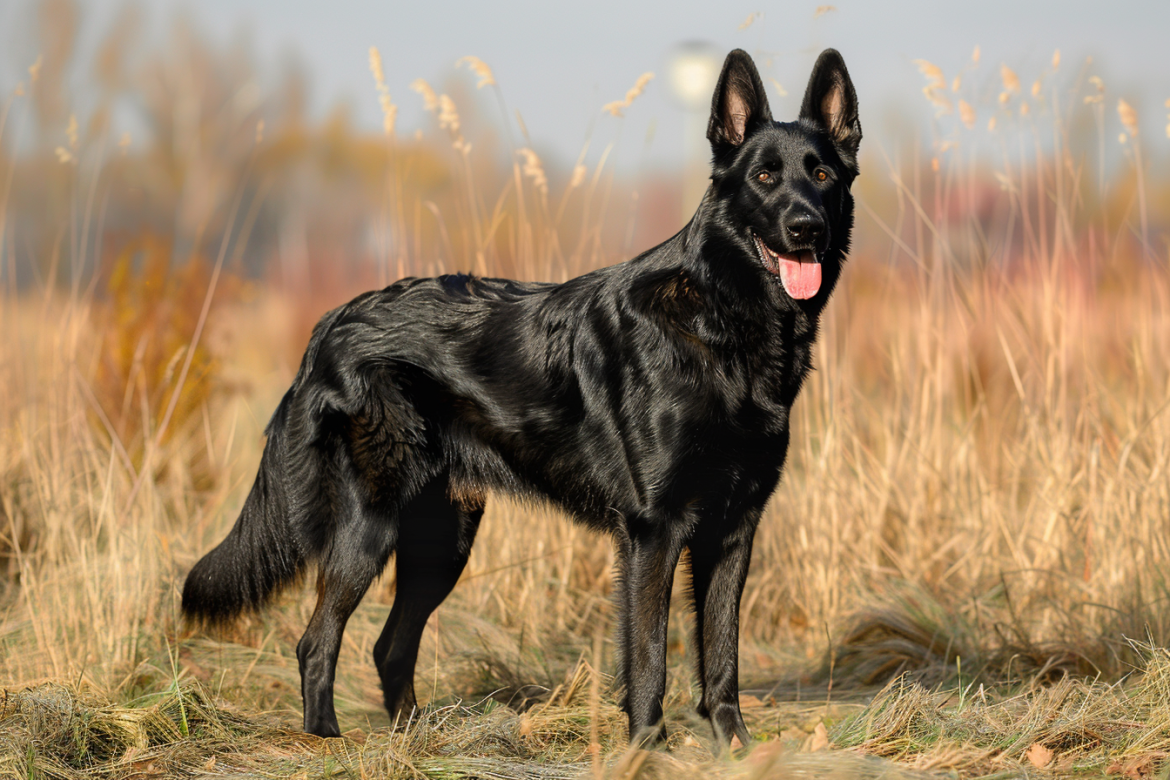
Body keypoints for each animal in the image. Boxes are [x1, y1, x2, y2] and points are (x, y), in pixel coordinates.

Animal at [182, 45, 861, 748]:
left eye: (822, 174)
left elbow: (722, 655)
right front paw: (646, 749)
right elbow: (649, 657)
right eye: (764, 177)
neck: (722, 323)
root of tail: (332, 321)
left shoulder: (734, 528)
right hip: (372, 525)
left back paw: (415, 742)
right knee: (316, 642)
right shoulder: (654, 530)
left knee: (388, 646)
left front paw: (736, 750)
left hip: (443, 541)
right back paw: (326, 742)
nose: (805, 228)